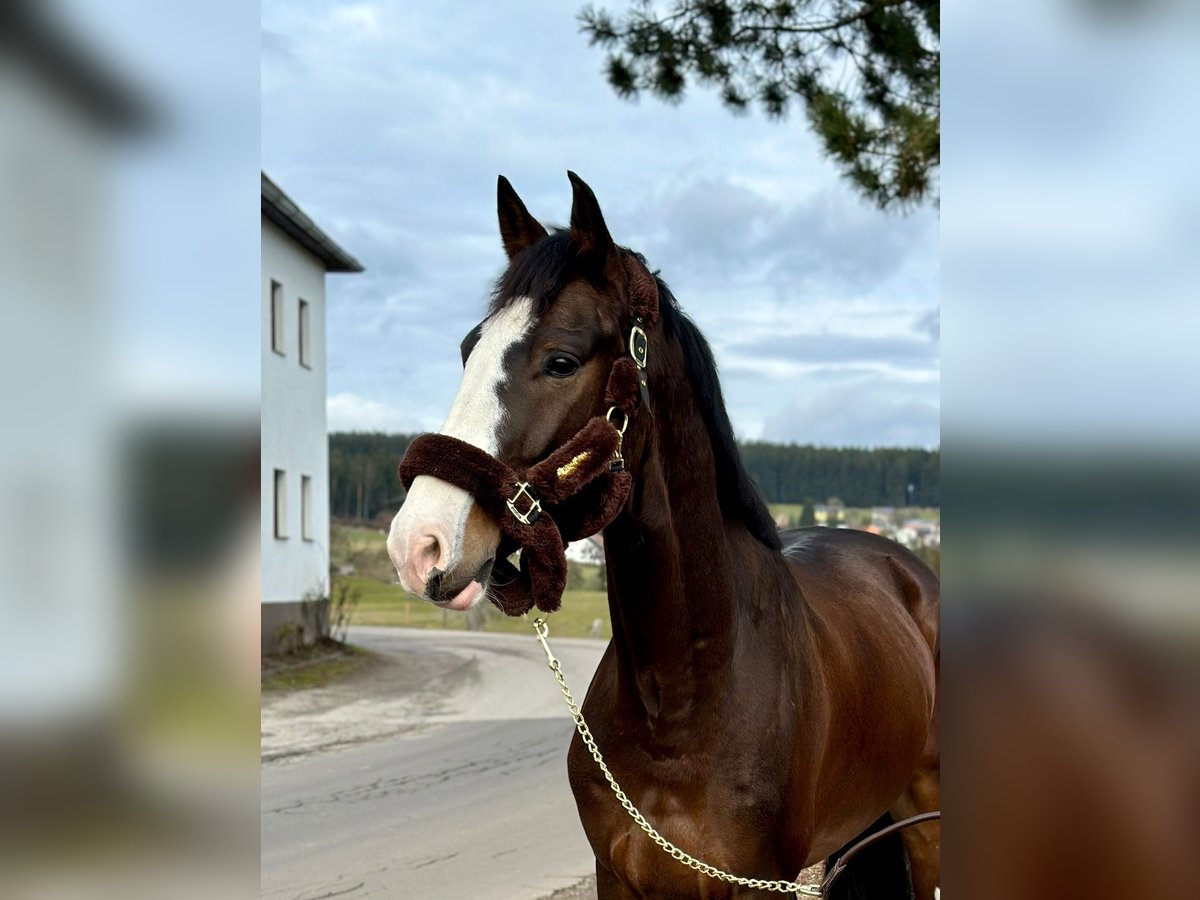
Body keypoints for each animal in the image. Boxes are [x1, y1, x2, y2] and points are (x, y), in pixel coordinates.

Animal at [388, 172, 940, 897]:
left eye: (560, 361)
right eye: (466, 350)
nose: (419, 541)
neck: (680, 699)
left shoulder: (755, 882)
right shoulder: (617, 876)